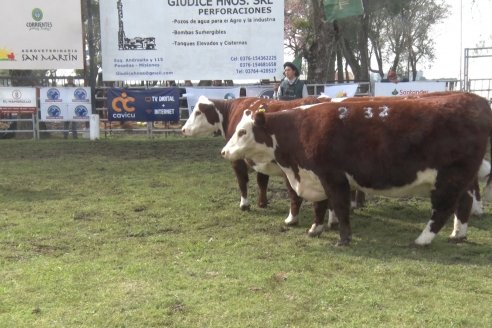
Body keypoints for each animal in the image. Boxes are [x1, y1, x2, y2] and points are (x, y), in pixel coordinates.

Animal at [182, 95, 334, 228]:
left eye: (197, 112)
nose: (183, 129)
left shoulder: (237, 160)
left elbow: (242, 182)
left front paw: (244, 205)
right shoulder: (261, 162)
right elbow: (262, 181)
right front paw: (262, 203)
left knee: (296, 195)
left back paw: (293, 220)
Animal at [223, 92, 492, 246]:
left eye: (242, 131)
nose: (224, 151)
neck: (301, 130)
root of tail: (476, 100)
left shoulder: (333, 177)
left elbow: (341, 208)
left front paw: (343, 239)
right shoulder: (315, 176)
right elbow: (320, 205)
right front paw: (315, 229)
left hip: (450, 177)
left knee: (444, 208)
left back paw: (423, 239)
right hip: (462, 178)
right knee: (464, 203)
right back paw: (458, 234)